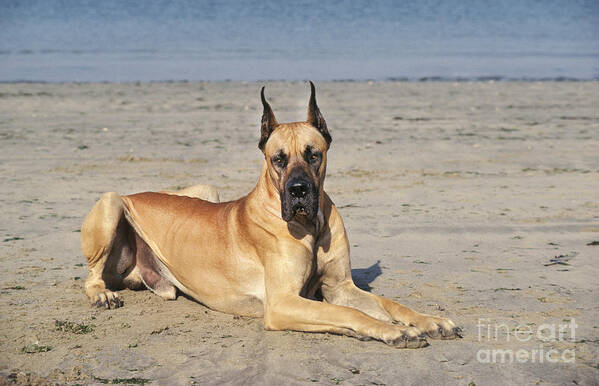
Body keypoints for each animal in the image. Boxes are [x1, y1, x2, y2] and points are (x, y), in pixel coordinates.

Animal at [82, 83, 462, 348]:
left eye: (313, 154)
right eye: (278, 159)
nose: (298, 191)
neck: (309, 225)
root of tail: (135, 193)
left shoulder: (341, 286)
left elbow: (388, 303)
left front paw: (427, 320)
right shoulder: (282, 303)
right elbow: (347, 312)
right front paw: (390, 331)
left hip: (206, 190)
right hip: (112, 202)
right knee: (91, 276)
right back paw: (102, 294)